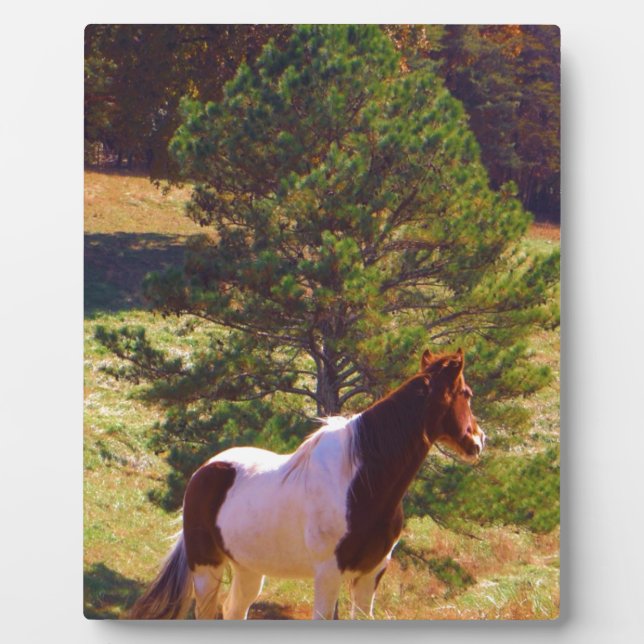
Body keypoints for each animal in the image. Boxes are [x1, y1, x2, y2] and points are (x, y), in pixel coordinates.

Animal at [129, 348, 485, 620]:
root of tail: (204, 471)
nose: (479, 440)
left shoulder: (371, 573)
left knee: (234, 610)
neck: (360, 482)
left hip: (248, 569)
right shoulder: (328, 572)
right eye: (466, 394)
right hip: (206, 569)